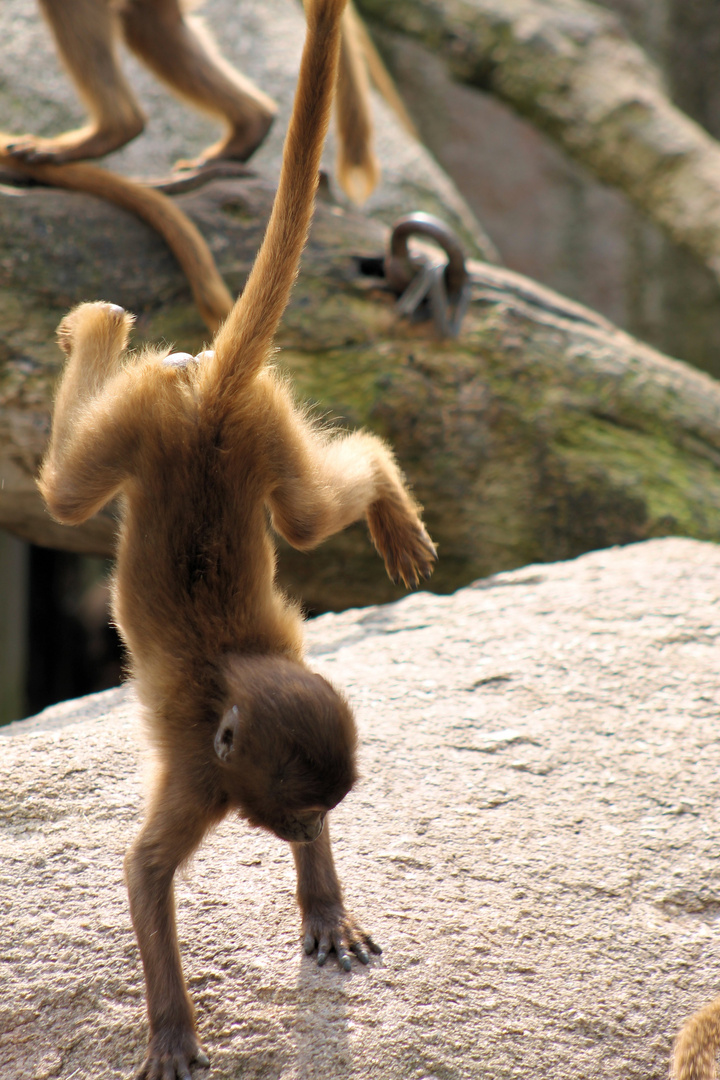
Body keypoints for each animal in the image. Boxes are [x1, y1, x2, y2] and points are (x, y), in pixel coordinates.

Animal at [38, 0, 433, 1071]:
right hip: (165, 419)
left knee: (298, 511)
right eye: (294, 807)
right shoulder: (197, 780)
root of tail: (211, 397)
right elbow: (145, 874)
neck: (235, 684)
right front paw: (174, 1030)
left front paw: (324, 904)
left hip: (248, 434)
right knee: (68, 495)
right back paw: (98, 324)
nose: (298, 835)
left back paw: (383, 495)